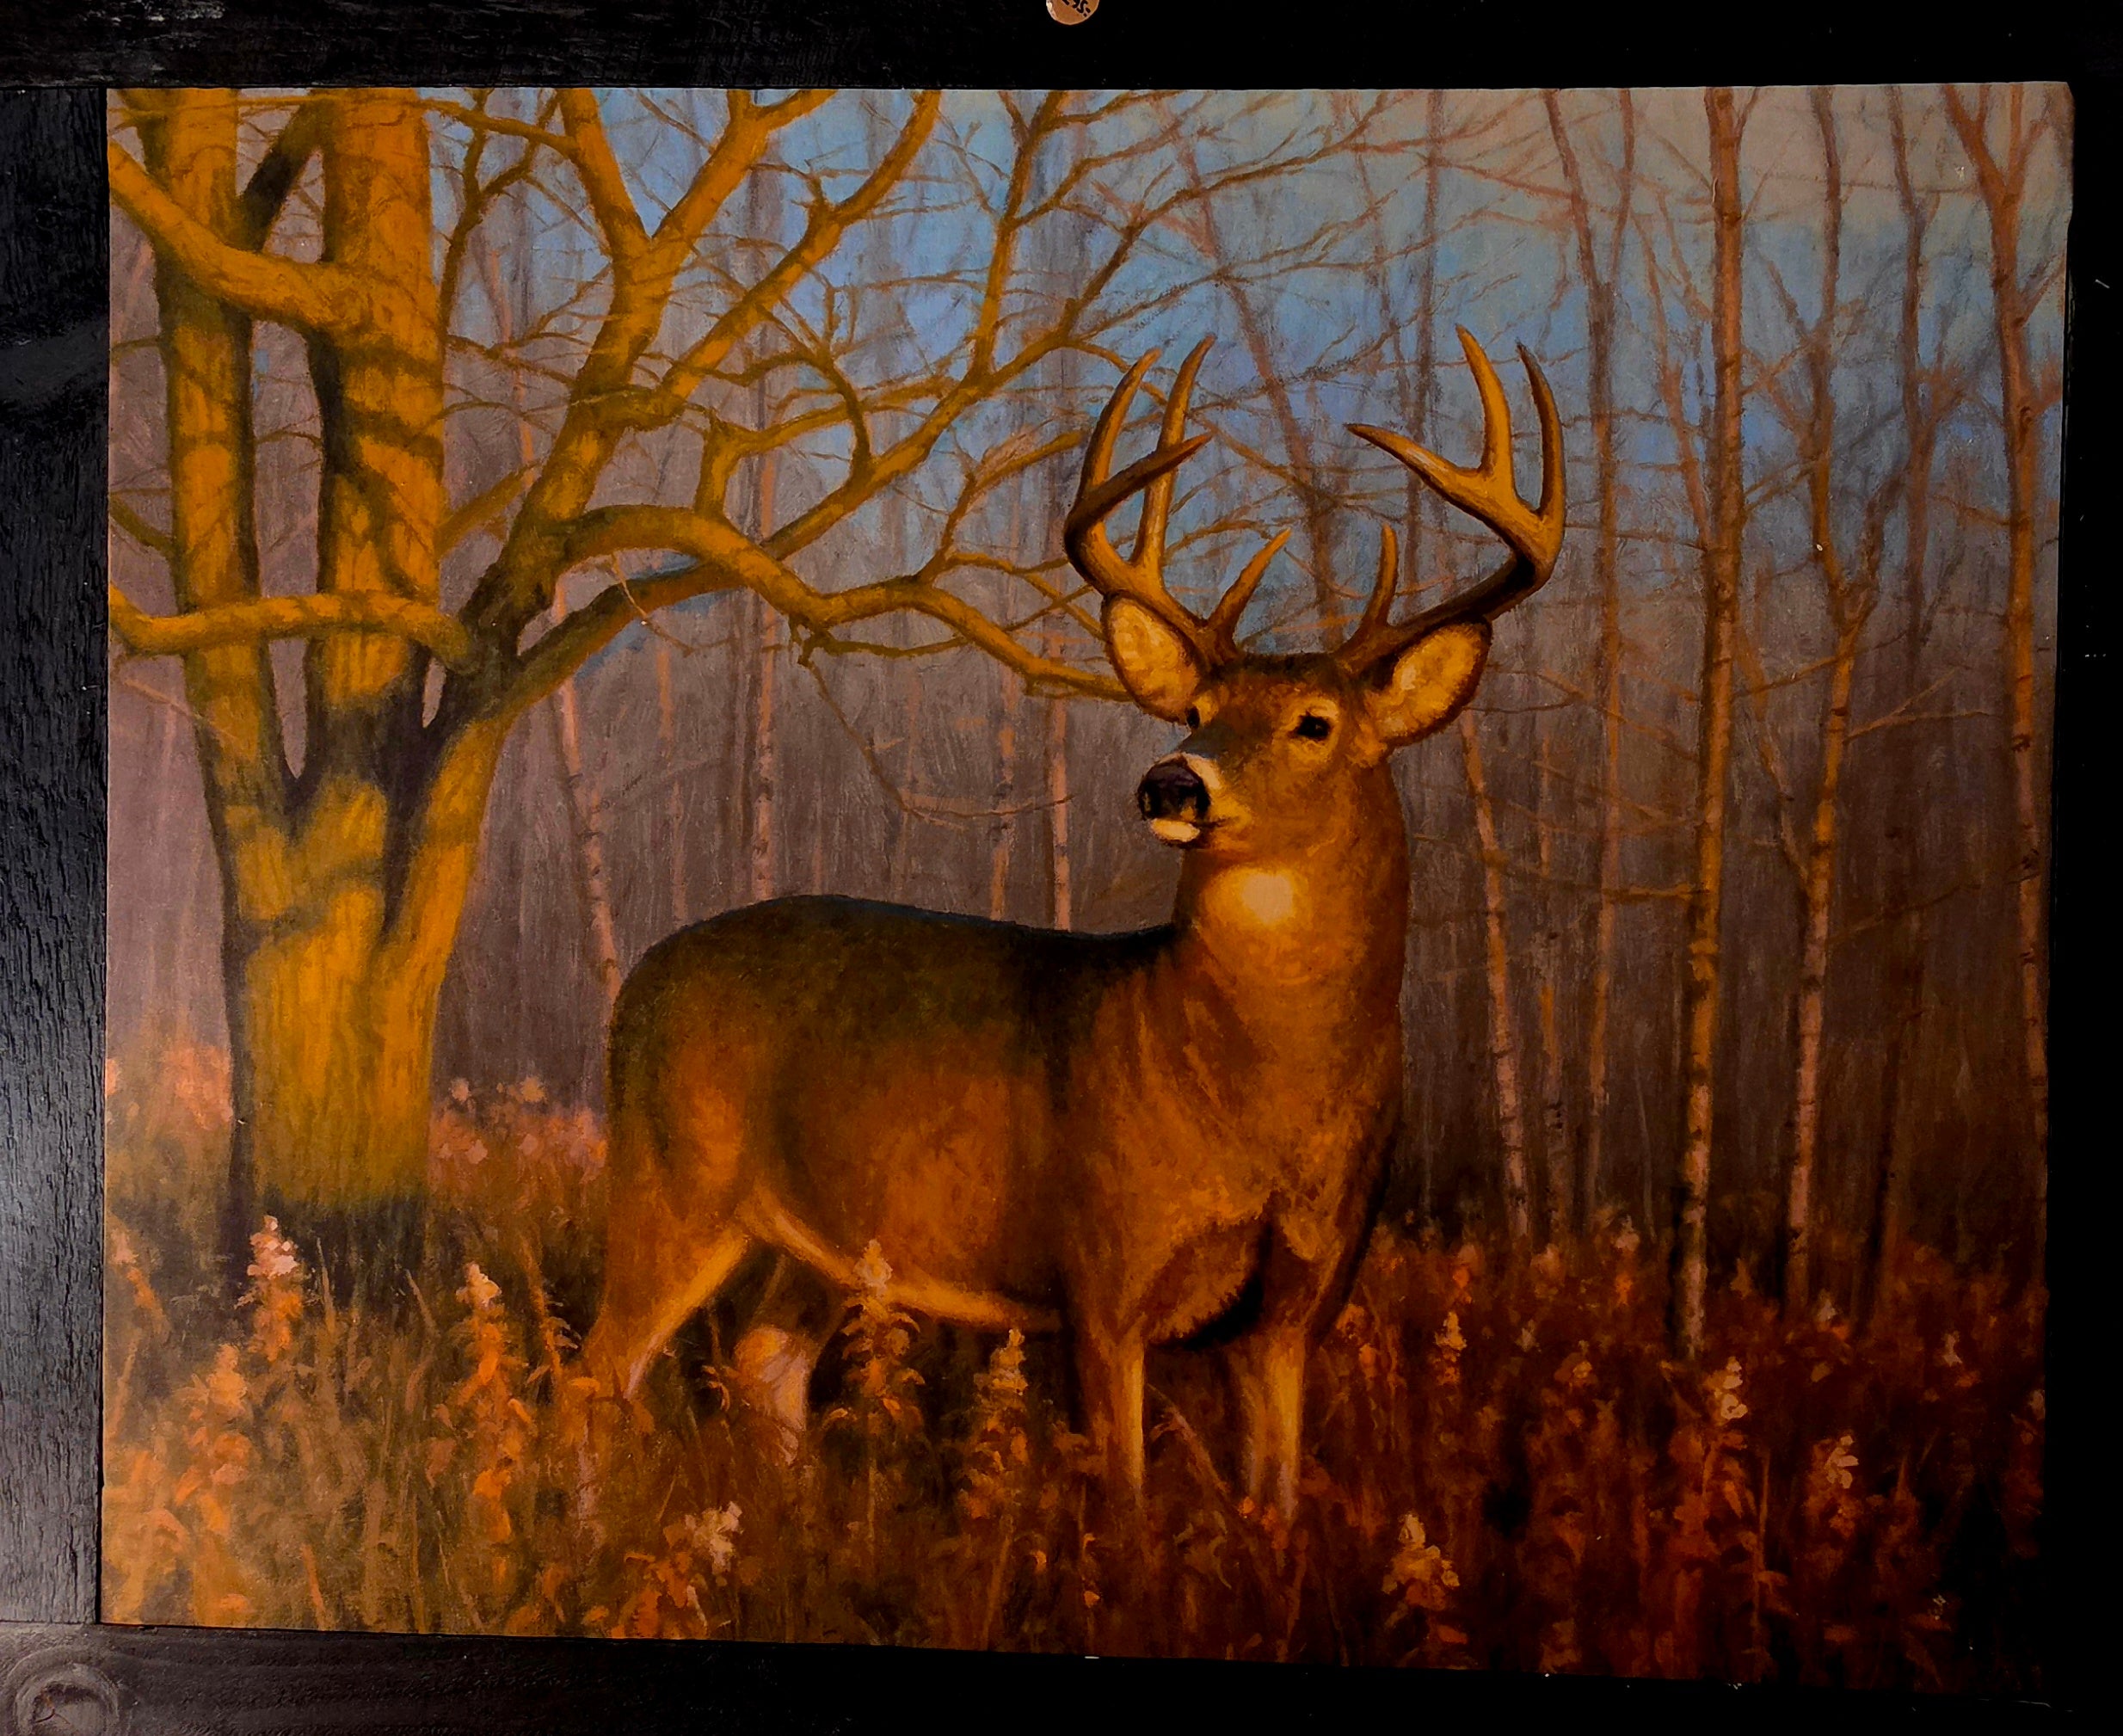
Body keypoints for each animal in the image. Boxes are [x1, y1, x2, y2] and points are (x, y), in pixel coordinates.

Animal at [571, 328, 1563, 1519]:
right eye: (1195, 711)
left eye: (1314, 722)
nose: (1171, 780)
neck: (1253, 1096)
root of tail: (638, 977)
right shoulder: (1101, 1264)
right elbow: (1124, 1499)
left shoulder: (1296, 1301)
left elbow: (1274, 1503)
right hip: (670, 1177)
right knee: (596, 1369)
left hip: (819, 1238)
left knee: (761, 1358)